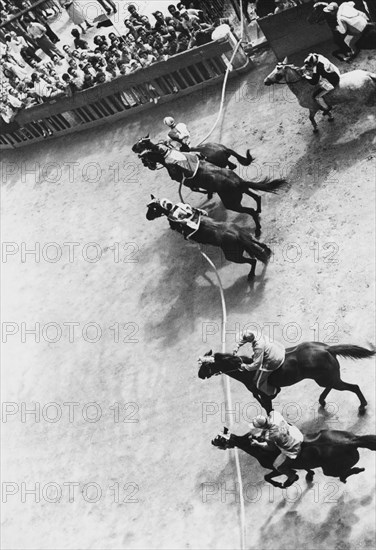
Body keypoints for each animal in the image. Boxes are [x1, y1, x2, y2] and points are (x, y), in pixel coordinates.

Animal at [198, 342, 374, 416]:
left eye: (205, 365)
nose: (199, 375)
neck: (246, 369)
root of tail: (327, 348)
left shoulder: (264, 394)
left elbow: (268, 409)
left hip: (325, 379)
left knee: (353, 386)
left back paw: (362, 405)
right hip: (324, 379)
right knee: (333, 386)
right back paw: (322, 400)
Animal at [212, 430, 376, 490]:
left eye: (219, 438)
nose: (212, 441)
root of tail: (351, 441)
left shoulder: (277, 468)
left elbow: (267, 477)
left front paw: (284, 483)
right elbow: (305, 468)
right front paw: (309, 474)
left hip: (330, 469)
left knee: (343, 473)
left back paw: (353, 472)